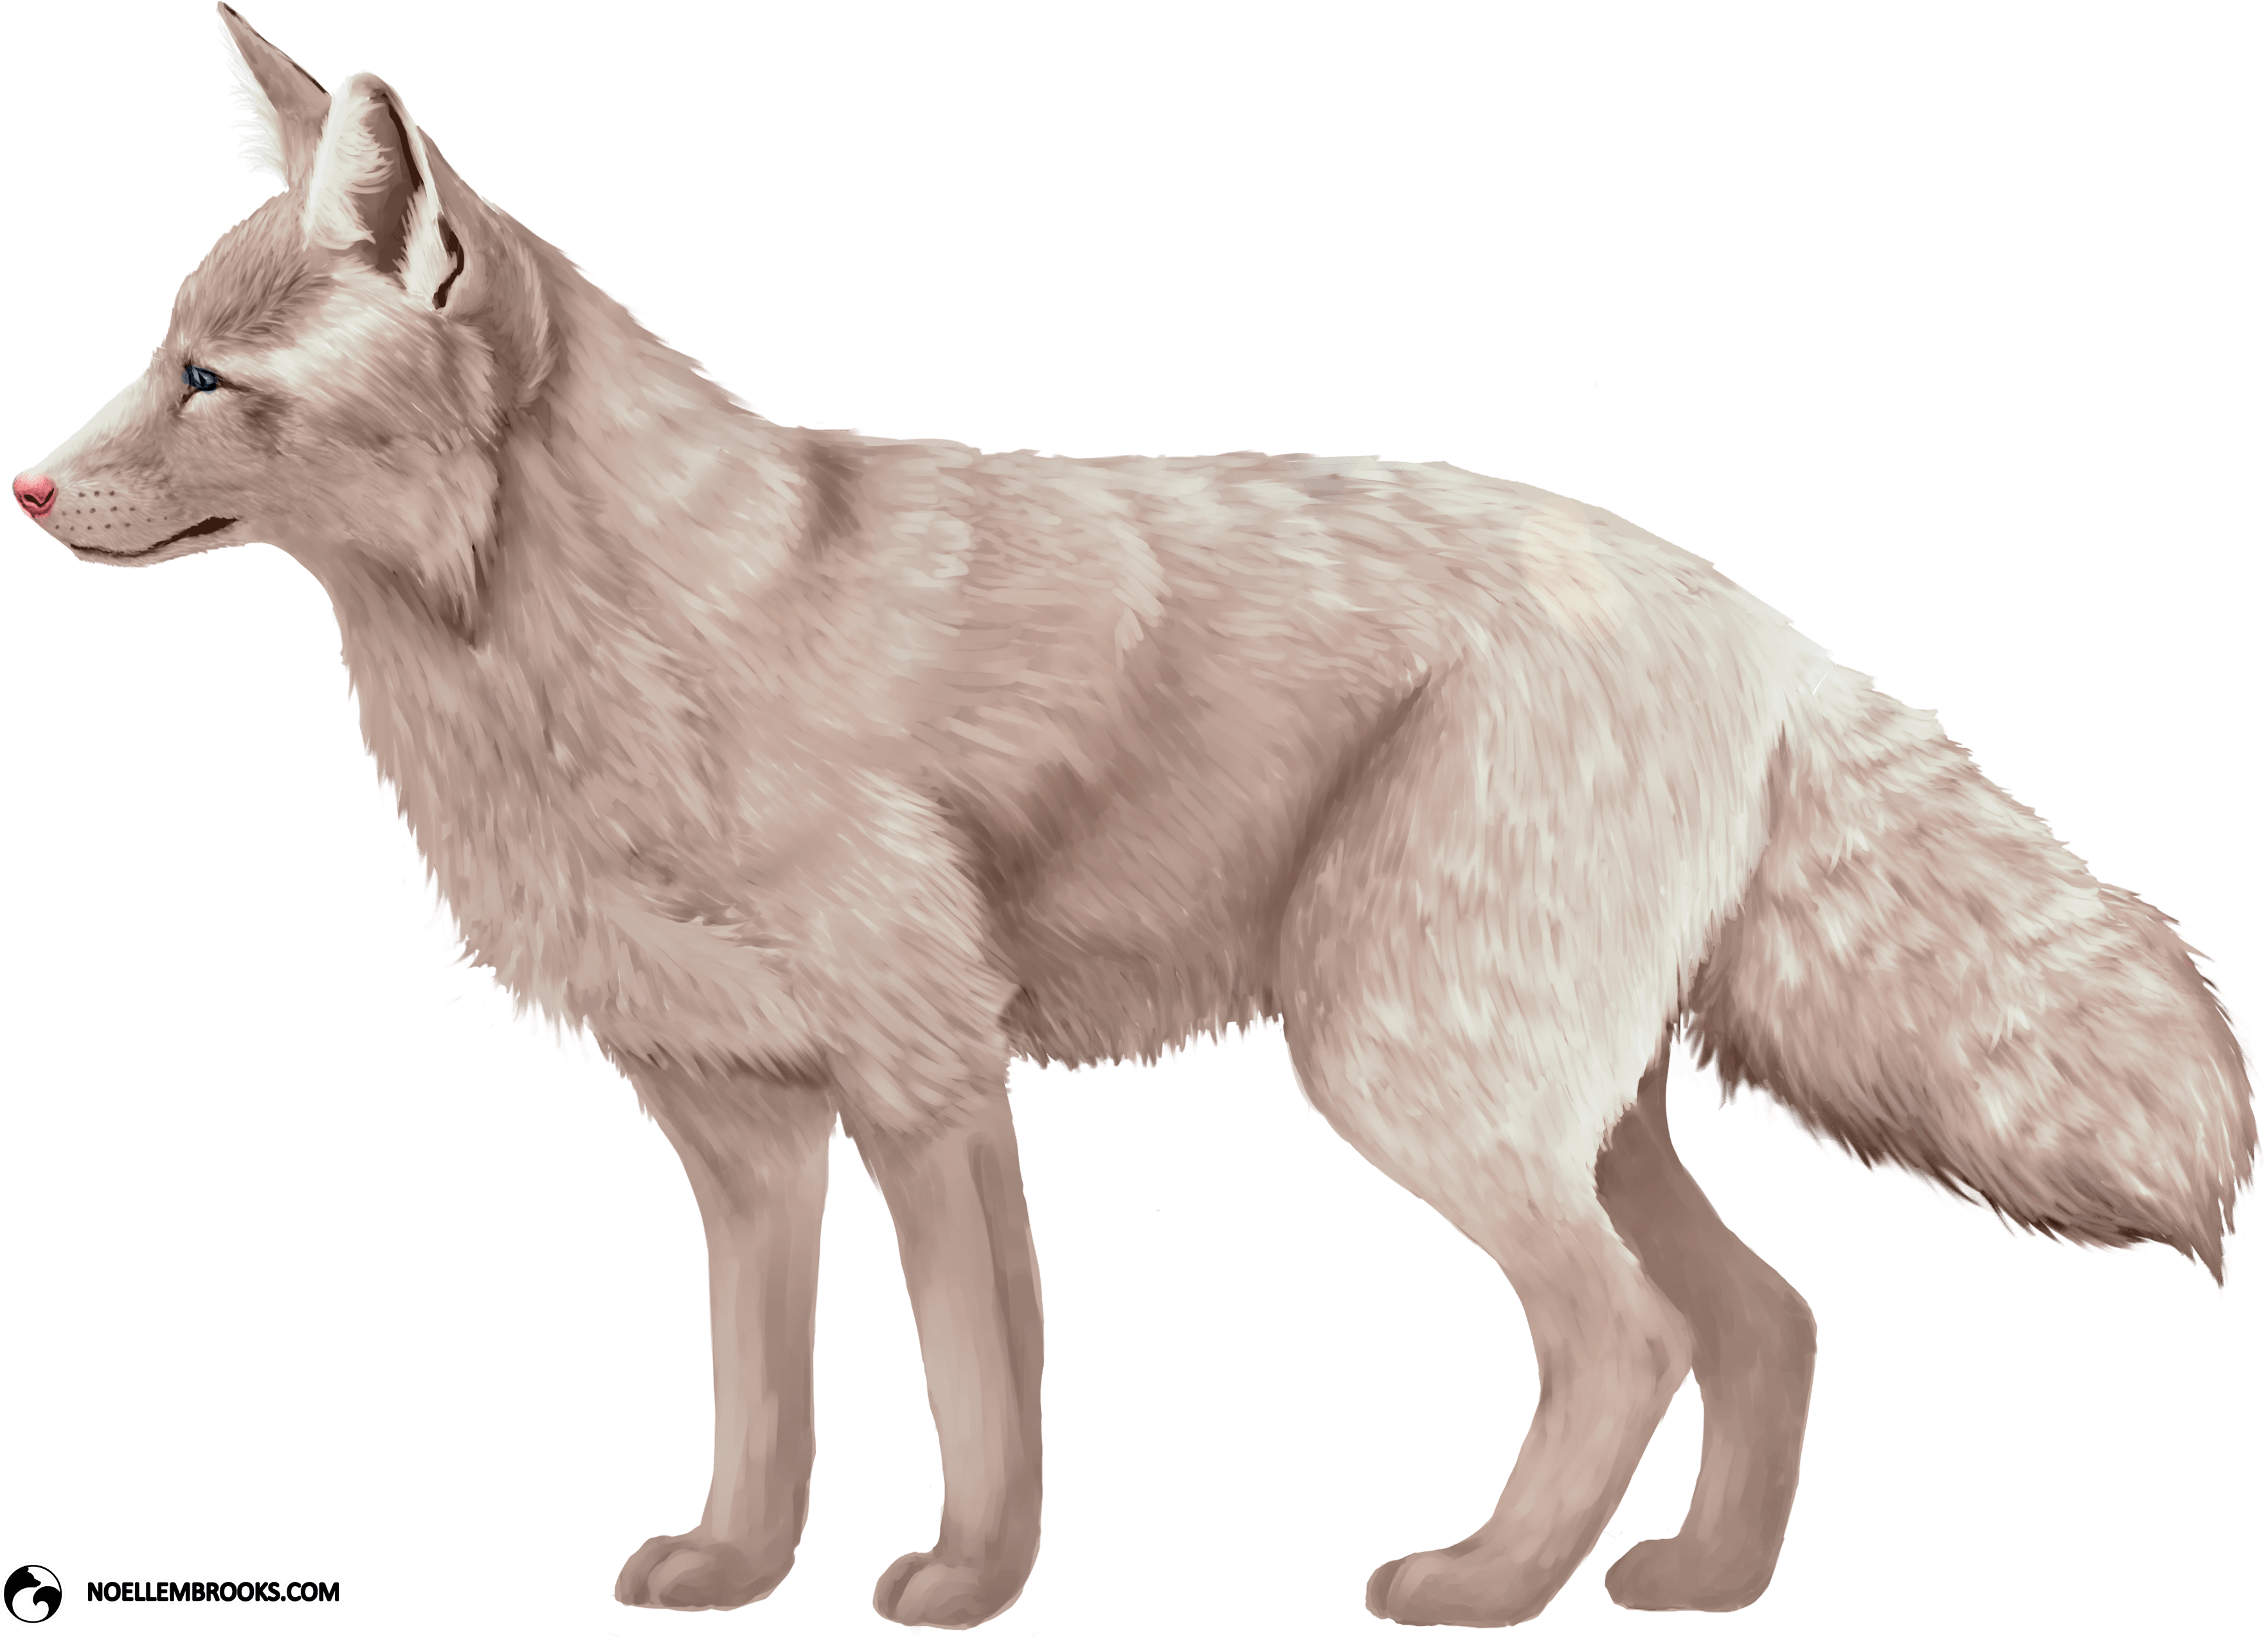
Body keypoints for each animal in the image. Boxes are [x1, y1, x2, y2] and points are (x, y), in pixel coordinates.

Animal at [12, 5, 2259, 1632]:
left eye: (209, 383)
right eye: (159, 355)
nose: (23, 490)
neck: (608, 646)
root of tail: (1756, 620)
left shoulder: (927, 1079)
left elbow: (978, 1379)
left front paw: (967, 1585)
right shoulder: (742, 1127)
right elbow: (765, 1398)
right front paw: (735, 1573)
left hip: (1400, 1078)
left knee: (1626, 1337)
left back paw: (1482, 1591)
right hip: (1558, 1099)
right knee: (1768, 1321)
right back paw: (1701, 1581)